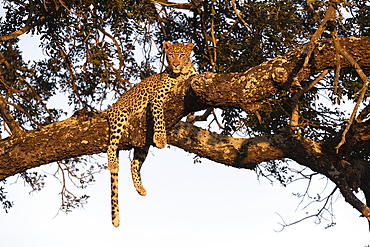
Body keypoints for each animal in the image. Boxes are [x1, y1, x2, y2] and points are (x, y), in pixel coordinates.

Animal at [106, 41, 197, 227]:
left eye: (182, 55)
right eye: (170, 55)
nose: (175, 64)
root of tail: (112, 108)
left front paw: (191, 116)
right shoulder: (157, 98)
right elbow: (160, 117)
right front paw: (161, 138)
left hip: (143, 143)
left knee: (134, 162)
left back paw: (141, 189)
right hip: (120, 116)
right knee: (111, 146)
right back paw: (112, 164)